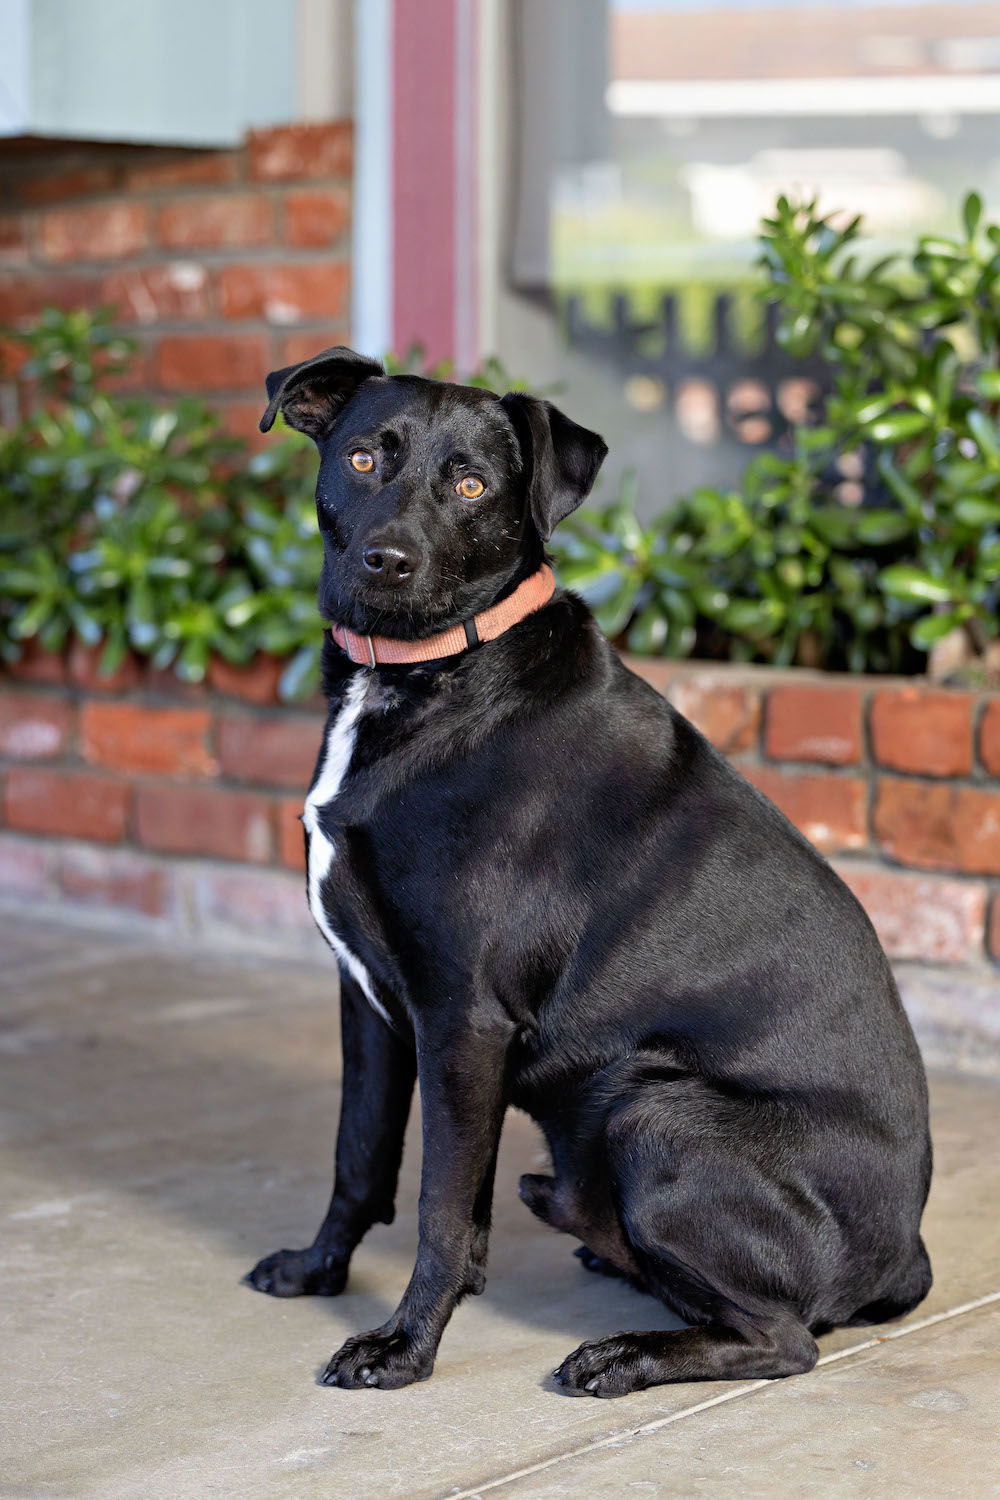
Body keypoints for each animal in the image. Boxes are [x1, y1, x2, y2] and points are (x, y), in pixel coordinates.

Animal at [245, 348, 935, 1392]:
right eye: (363, 459)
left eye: (472, 485)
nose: (387, 562)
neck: (436, 677)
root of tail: (909, 1258)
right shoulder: (368, 1000)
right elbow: (357, 1158)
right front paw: (318, 1271)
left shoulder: (462, 1019)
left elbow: (443, 1207)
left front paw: (403, 1346)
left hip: (654, 1109)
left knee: (788, 1340)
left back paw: (626, 1354)